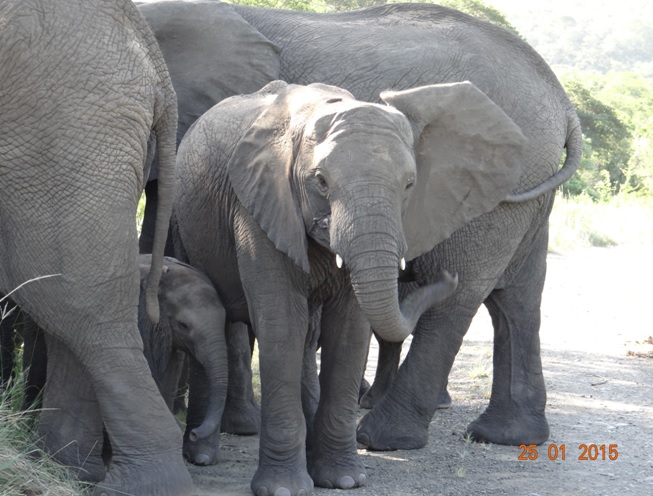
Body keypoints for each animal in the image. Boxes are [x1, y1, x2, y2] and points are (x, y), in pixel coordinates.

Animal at [139, 0, 580, 450]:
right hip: (527, 184)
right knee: (517, 297)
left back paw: (383, 435)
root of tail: (561, 101)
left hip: (496, 183)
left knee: (463, 297)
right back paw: (506, 434)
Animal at [173, 80, 524, 496]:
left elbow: (350, 330)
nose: (447, 277)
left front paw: (343, 480)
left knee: (308, 335)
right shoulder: (259, 205)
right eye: (321, 182)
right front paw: (284, 488)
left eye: (409, 184)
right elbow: (281, 323)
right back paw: (202, 454)